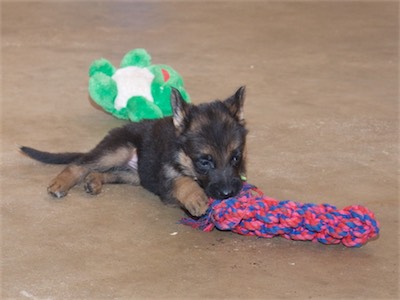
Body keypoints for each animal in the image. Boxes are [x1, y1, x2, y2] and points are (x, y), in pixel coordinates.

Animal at [21, 86, 248, 216]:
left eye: (236, 158)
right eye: (204, 162)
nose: (228, 194)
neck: (180, 155)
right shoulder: (166, 183)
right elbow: (182, 181)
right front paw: (196, 198)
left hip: (134, 174)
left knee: (103, 172)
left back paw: (93, 181)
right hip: (119, 150)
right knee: (80, 164)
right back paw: (61, 183)